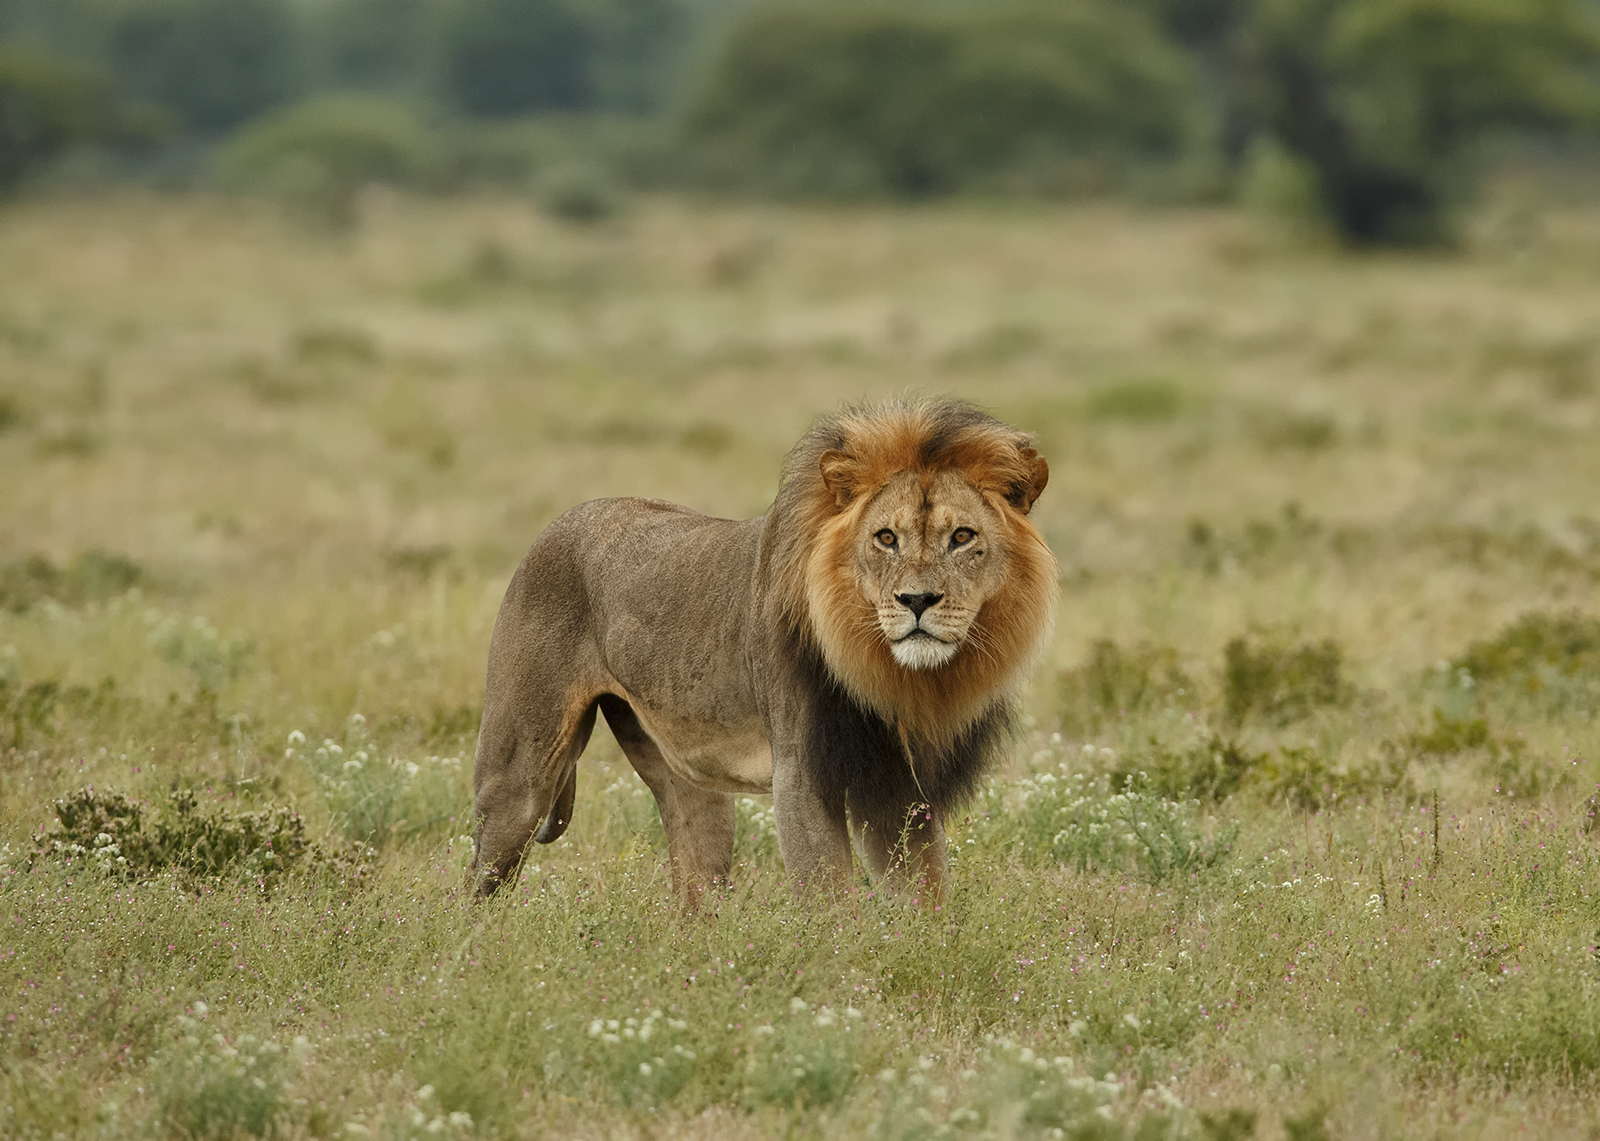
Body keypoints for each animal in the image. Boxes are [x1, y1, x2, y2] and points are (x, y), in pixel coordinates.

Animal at [470, 397, 1057, 905]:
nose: (915, 600)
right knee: (477, 885)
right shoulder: (802, 774)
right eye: (886, 538)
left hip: (689, 783)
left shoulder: (900, 788)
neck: (900, 677)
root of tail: (562, 519)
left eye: (962, 537)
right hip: (519, 775)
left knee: (694, 891)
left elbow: (927, 896)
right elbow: (830, 902)